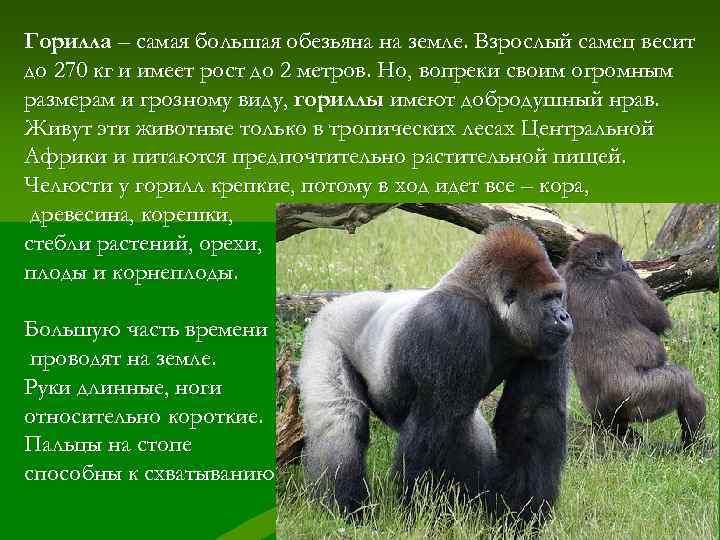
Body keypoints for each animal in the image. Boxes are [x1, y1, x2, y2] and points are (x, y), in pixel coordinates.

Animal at [297, 224, 573, 528]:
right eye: (546, 299)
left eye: (558, 296)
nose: (564, 316)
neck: (487, 304)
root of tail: (334, 303)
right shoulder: (453, 321)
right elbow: (437, 422)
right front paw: (425, 515)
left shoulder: (548, 342)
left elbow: (531, 416)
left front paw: (520, 515)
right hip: (325, 333)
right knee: (340, 422)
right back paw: (346, 509)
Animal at [559, 234, 706, 447]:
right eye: (620, 253)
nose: (626, 262)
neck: (585, 269)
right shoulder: (624, 281)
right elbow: (661, 319)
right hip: (637, 400)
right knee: (684, 385)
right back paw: (695, 447)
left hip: (603, 417)